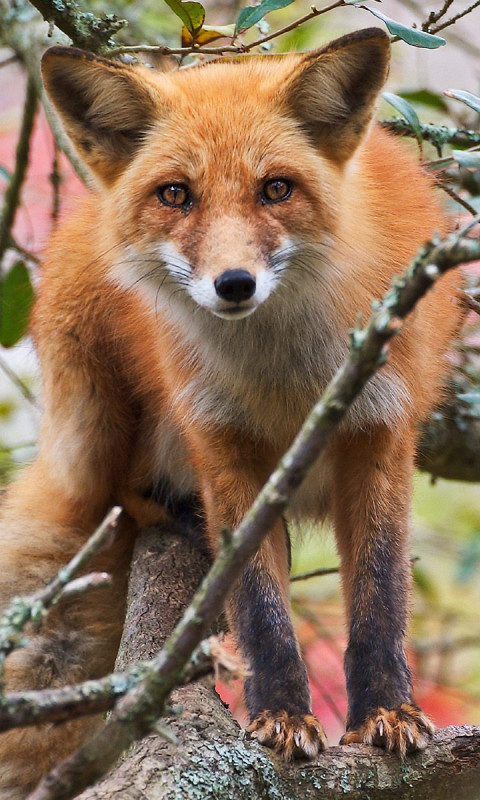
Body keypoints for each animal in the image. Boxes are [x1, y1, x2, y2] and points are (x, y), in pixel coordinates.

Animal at [0, 28, 462, 796]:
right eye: (175, 195)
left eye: (276, 188)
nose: (234, 284)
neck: (288, 383)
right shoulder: (223, 442)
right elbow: (261, 606)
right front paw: (281, 715)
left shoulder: (380, 432)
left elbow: (380, 594)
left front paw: (387, 712)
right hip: (95, 421)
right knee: (124, 497)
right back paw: (178, 515)